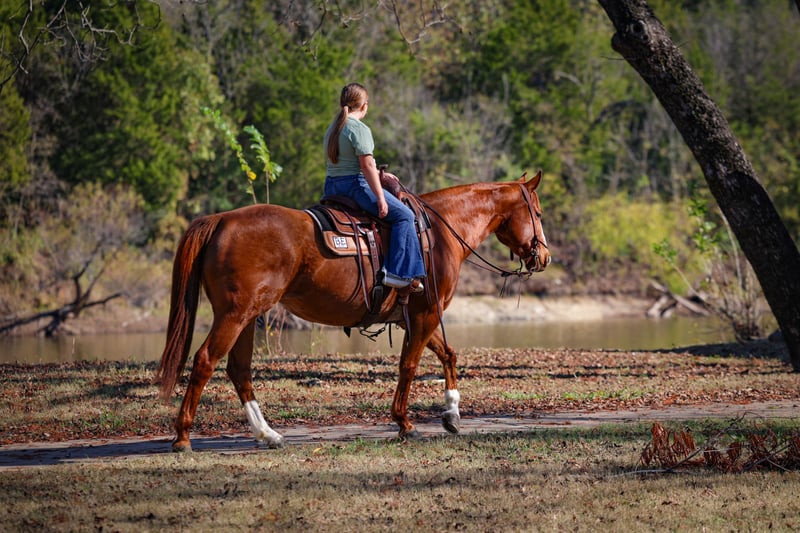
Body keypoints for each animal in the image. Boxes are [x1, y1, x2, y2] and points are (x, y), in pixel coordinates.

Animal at [156, 171, 551, 451]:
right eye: (538, 212)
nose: (544, 257)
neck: (438, 233)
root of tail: (222, 219)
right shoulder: (424, 314)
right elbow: (409, 365)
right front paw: (404, 423)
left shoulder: (414, 317)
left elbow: (448, 354)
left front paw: (452, 413)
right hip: (234, 315)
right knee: (205, 361)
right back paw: (183, 437)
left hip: (248, 317)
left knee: (239, 370)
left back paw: (267, 434)